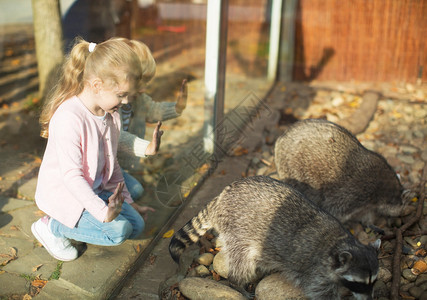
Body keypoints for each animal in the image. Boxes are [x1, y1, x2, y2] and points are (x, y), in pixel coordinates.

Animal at [169, 176, 380, 300]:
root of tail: (222, 195)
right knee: (242, 261)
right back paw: (237, 283)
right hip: (237, 230)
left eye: (374, 282)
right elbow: (320, 293)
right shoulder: (315, 272)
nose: (370, 299)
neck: (338, 243)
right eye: (359, 283)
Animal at [274, 118, 414, 224]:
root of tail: (280, 139)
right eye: (402, 205)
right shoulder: (353, 194)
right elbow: (337, 211)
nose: (405, 212)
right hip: (292, 168)